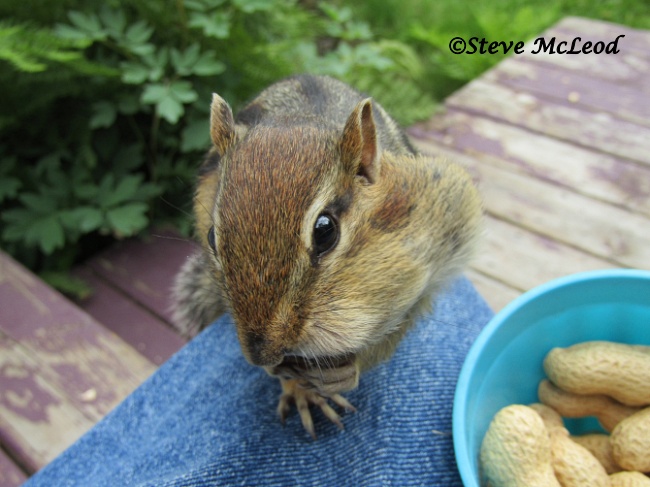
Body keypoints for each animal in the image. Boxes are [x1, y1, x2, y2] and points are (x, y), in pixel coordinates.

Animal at [171, 74, 482, 439]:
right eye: (211, 237)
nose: (261, 356)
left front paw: (348, 371)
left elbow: (402, 323)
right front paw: (295, 388)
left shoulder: (447, 221)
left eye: (325, 230)